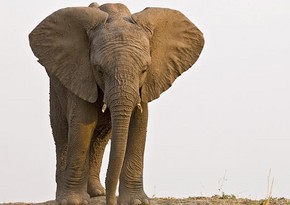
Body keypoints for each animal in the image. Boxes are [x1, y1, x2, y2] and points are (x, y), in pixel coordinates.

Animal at [28, 2, 203, 205]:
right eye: (99, 70)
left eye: (144, 70)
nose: (112, 201)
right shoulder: (80, 74)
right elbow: (82, 125)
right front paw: (74, 201)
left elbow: (139, 124)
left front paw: (137, 201)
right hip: (56, 88)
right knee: (62, 134)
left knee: (100, 138)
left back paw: (96, 192)